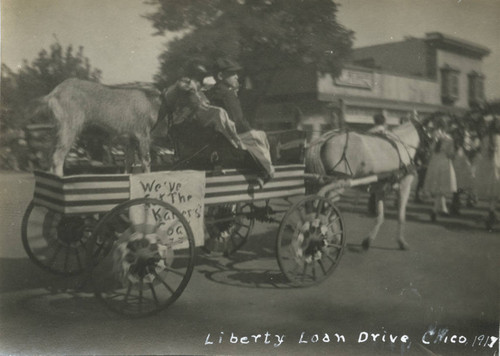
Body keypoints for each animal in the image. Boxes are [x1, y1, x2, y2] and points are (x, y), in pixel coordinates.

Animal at [304, 121, 422, 250]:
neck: (403, 145)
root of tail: (327, 139)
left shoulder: (380, 189)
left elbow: (380, 216)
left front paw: (368, 240)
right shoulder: (404, 186)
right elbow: (401, 216)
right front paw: (401, 241)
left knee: (319, 209)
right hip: (338, 185)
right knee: (326, 210)